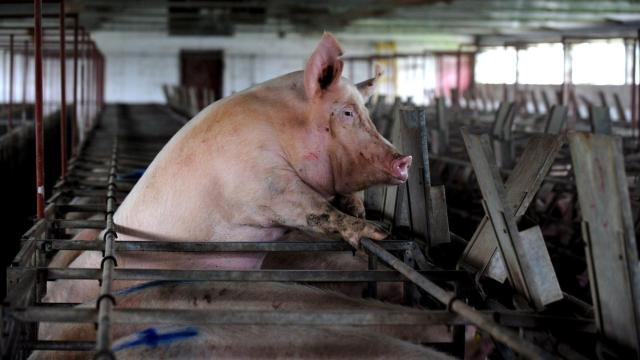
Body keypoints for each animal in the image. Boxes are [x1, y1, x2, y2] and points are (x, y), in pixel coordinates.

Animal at [46, 32, 416, 304]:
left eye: (366, 113)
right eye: (347, 113)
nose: (404, 160)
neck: (284, 130)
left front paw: (365, 214)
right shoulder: (264, 187)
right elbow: (314, 209)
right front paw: (378, 232)